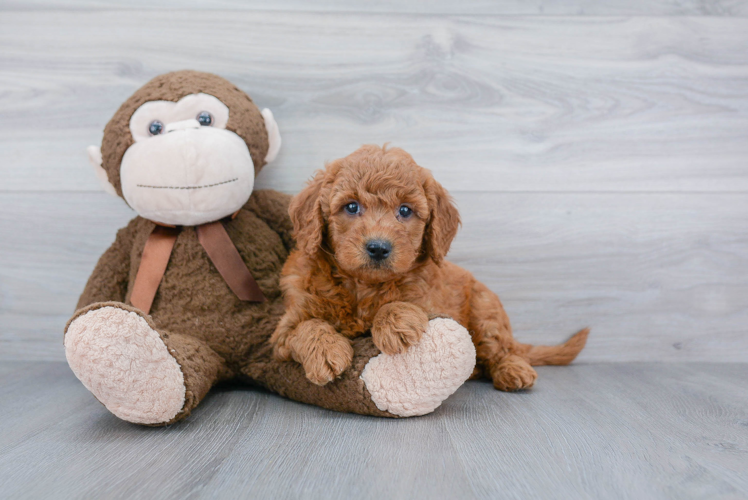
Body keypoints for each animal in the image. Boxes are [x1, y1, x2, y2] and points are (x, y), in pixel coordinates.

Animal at [272, 145, 588, 390]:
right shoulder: (283, 331)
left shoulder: (433, 305)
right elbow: (307, 326)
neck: (363, 286)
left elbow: (403, 305)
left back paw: (513, 369)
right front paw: (326, 351)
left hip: (486, 311)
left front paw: (394, 323)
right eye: (351, 207)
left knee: (500, 349)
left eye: (405, 210)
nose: (378, 247)